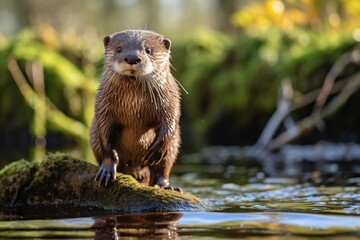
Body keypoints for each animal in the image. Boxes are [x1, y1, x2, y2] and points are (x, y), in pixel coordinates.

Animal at [89, 29, 181, 189]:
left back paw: (165, 186)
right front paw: (106, 170)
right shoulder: (102, 105)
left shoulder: (171, 99)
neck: (134, 105)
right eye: (119, 49)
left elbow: (170, 122)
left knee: (163, 167)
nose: (132, 57)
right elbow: (104, 135)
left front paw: (155, 151)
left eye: (148, 50)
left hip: (174, 146)